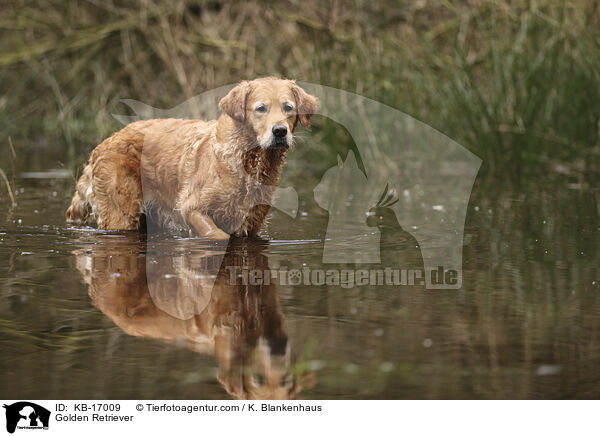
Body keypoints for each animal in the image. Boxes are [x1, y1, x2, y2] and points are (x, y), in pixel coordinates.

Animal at [65, 77, 318, 238]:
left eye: (288, 107)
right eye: (261, 108)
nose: (280, 131)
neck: (246, 159)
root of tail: (104, 143)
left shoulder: (250, 222)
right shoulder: (192, 207)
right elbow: (215, 234)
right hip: (121, 213)